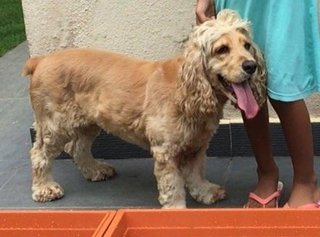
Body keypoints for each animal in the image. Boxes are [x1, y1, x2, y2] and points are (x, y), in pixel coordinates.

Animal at [23, 10, 266, 207]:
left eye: (246, 45)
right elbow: (173, 186)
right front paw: (177, 209)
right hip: (55, 124)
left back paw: (95, 170)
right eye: (222, 49)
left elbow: (196, 172)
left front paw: (205, 192)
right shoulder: (165, 150)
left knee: (77, 147)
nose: (251, 65)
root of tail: (40, 60)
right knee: (39, 153)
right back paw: (45, 188)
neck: (186, 88)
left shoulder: (197, 143)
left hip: (88, 122)